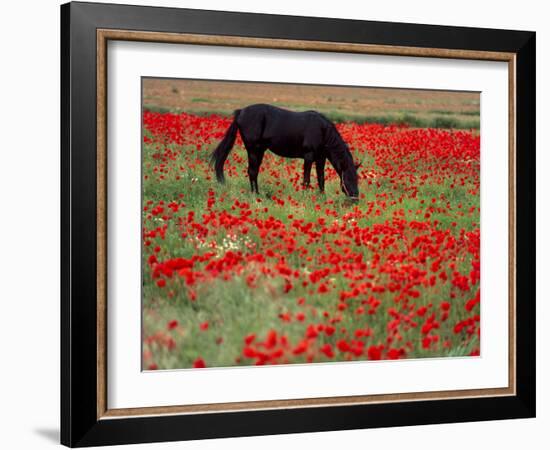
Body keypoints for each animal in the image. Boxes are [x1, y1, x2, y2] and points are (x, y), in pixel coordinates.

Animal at [209, 104, 360, 200]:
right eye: (348, 178)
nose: (355, 198)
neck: (322, 131)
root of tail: (241, 112)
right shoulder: (309, 156)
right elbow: (306, 179)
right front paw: (305, 198)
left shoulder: (320, 158)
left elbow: (321, 179)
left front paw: (322, 198)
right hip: (253, 149)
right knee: (251, 171)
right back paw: (255, 195)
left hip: (260, 151)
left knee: (254, 171)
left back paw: (257, 193)